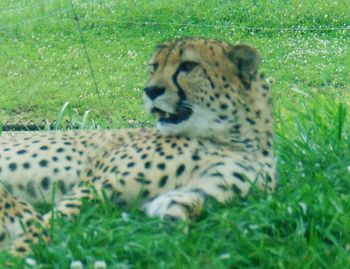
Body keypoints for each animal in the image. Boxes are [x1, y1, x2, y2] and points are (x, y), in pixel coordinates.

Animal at [0, 36, 276, 254]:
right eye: (154, 66)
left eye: (188, 66)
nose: (150, 90)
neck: (236, 140)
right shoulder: (95, 186)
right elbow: (51, 223)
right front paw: (20, 254)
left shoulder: (203, 191)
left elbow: (187, 203)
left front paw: (172, 226)